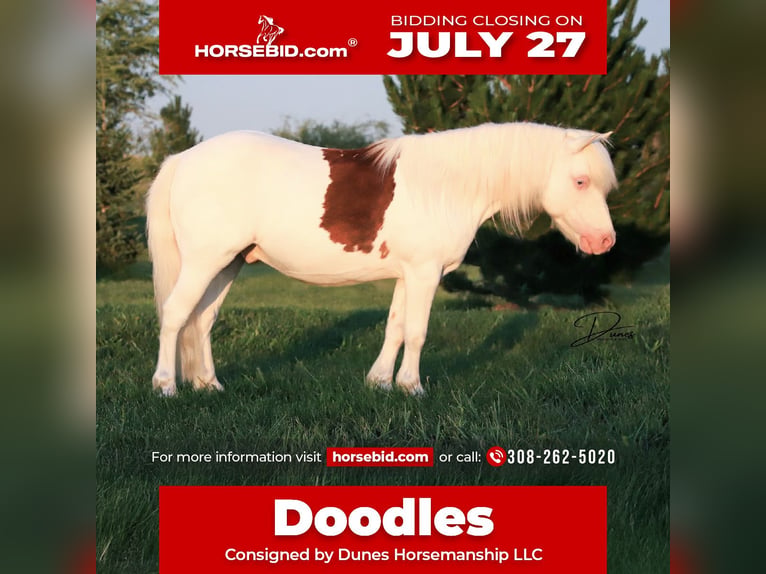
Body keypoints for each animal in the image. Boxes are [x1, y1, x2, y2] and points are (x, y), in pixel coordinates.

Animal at [146, 122, 617, 397]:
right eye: (581, 181)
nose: (605, 241)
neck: (445, 185)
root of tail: (182, 159)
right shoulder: (425, 273)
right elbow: (418, 331)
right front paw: (412, 388)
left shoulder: (409, 274)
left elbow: (395, 327)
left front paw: (380, 384)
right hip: (205, 261)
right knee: (175, 315)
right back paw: (166, 386)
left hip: (228, 262)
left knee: (202, 320)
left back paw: (209, 385)